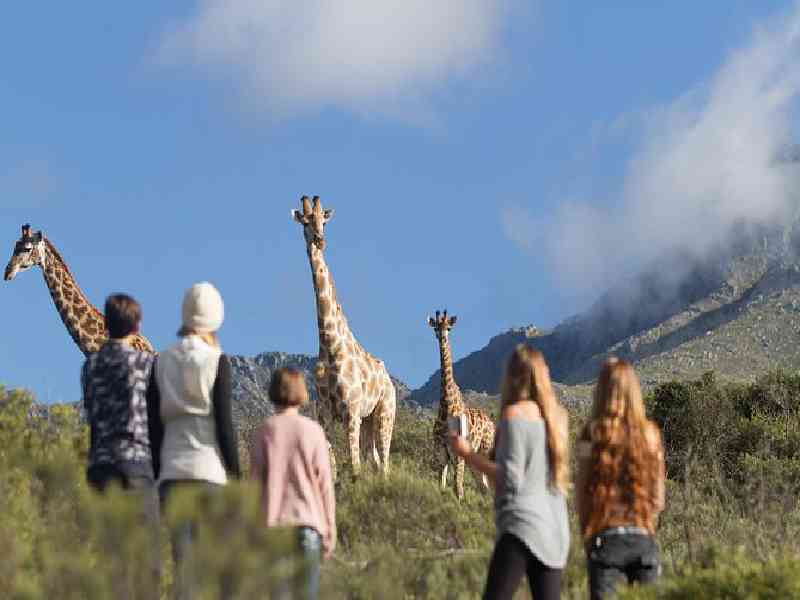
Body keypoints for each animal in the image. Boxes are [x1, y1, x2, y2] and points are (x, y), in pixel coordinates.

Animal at [292, 196, 396, 476]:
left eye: (324, 221)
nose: (320, 240)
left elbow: (353, 465)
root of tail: (389, 380)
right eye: (305, 222)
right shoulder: (325, 415)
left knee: (384, 462)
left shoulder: (351, 412)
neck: (328, 344)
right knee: (374, 459)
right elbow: (333, 464)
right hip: (368, 420)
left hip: (384, 414)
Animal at [428, 309, 495, 500]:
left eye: (449, 327)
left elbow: (458, 488)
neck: (446, 405)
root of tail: (492, 423)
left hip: (485, 451)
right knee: (483, 487)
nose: (441, 336)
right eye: (435, 327)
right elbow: (442, 484)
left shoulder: (458, 452)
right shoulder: (441, 450)